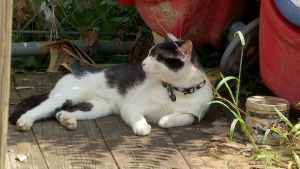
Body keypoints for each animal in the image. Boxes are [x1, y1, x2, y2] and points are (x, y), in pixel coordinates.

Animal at [8, 34, 212, 136]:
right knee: (40, 109)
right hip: (67, 96)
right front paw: (142, 127)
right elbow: (138, 117)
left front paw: (165, 119)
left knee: (61, 112)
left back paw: (68, 121)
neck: (177, 89)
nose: (143, 63)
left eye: (158, 58)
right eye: (148, 54)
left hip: (98, 107)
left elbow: (183, 117)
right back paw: (24, 122)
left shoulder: (197, 114)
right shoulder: (132, 106)